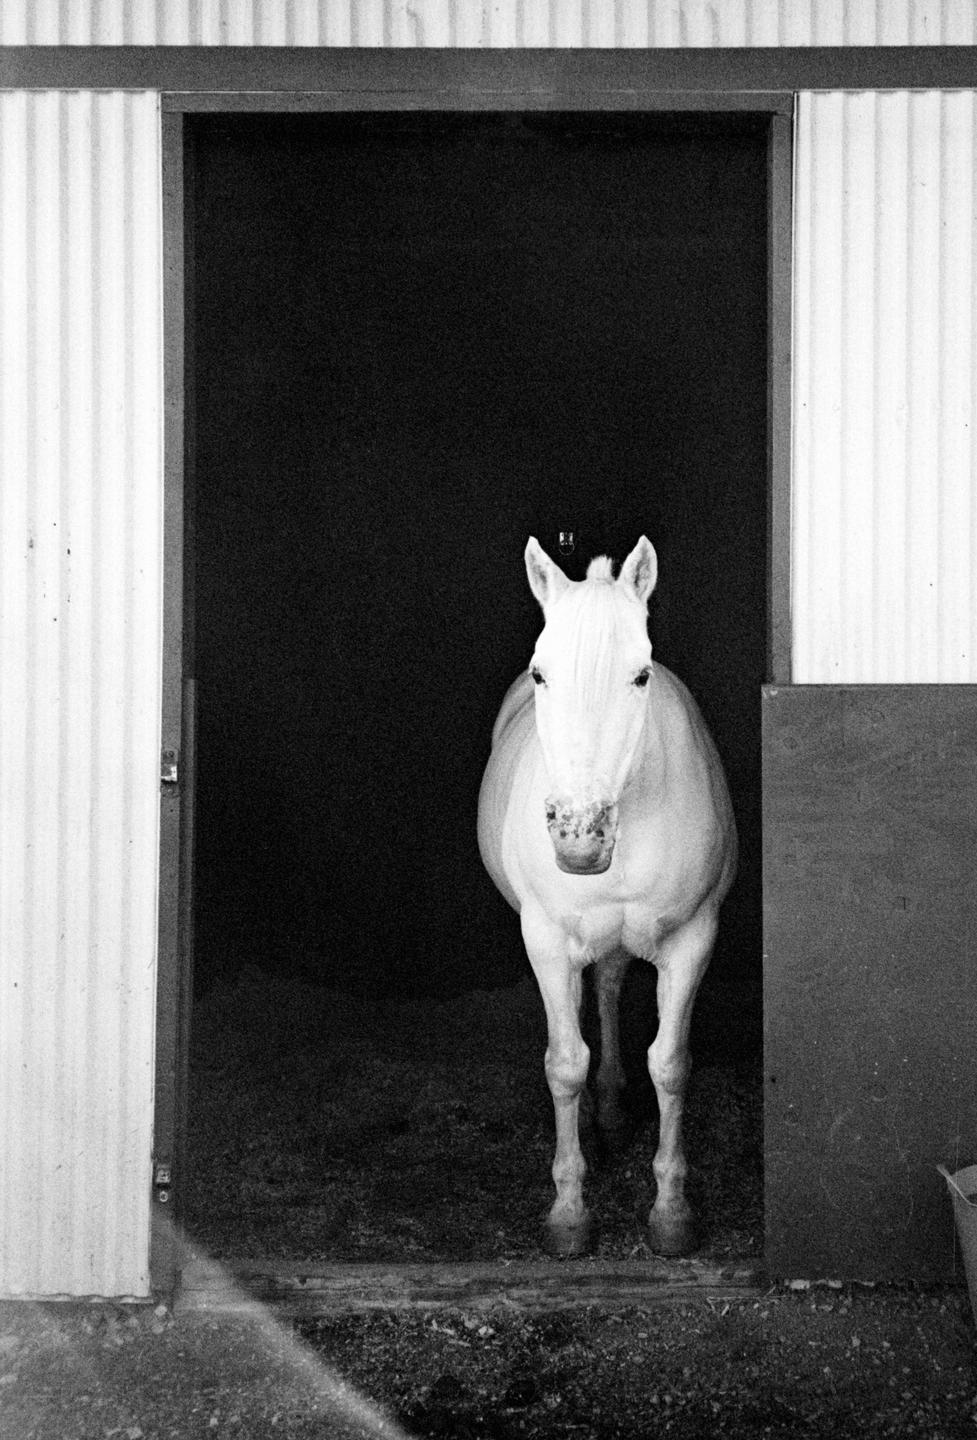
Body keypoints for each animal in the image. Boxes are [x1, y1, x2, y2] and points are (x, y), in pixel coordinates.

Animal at [477, 537, 737, 1257]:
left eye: (641, 675)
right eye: (540, 675)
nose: (579, 836)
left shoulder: (693, 939)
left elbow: (670, 1065)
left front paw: (671, 1214)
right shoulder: (544, 942)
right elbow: (565, 1064)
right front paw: (569, 1214)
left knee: (613, 986)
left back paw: (615, 1107)